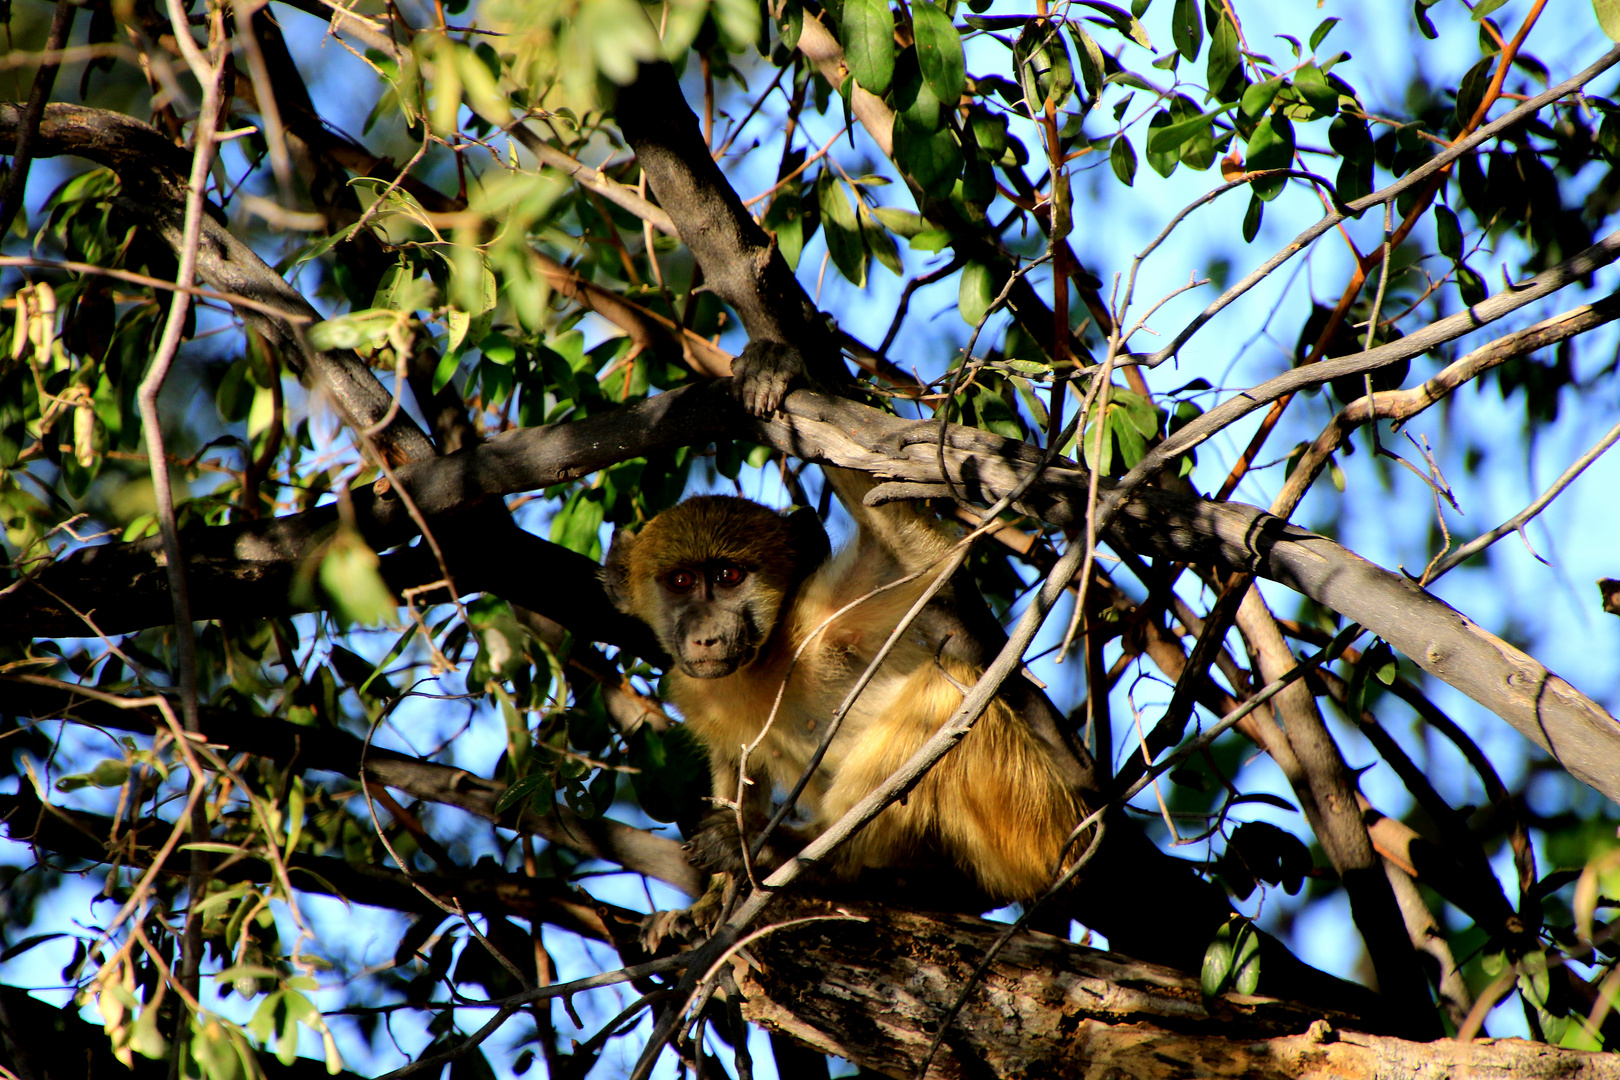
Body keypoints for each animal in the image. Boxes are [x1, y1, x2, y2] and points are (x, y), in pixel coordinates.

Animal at [602, 466, 1082, 913]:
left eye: (728, 575)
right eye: (681, 581)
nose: (706, 636)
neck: (764, 664)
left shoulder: (828, 616)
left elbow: (924, 559)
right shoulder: (697, 692)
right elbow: (736, 767)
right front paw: (708, 904)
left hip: (1031, 822)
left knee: (944, 692)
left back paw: (806, 858)